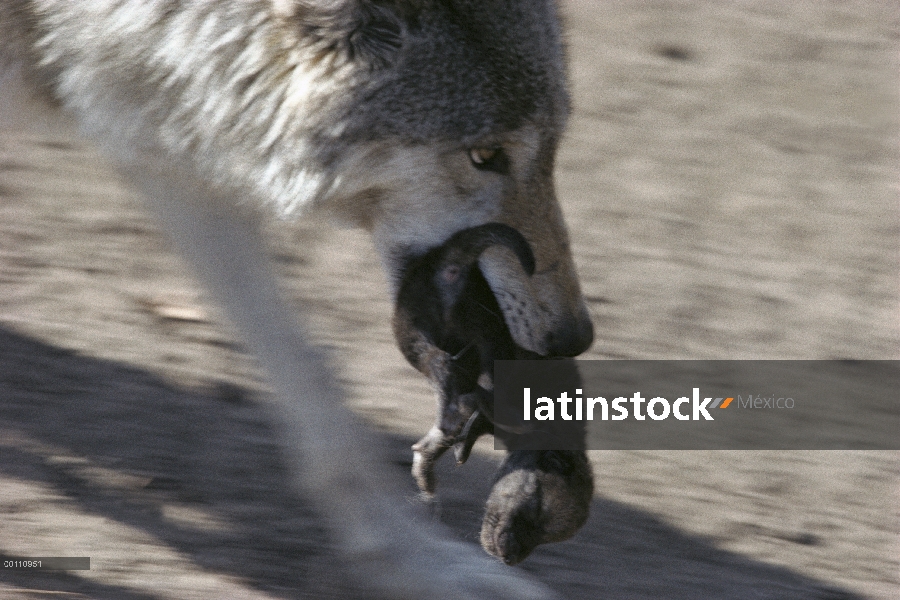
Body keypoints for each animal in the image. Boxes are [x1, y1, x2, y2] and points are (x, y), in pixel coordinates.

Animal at [1, 2, 596, 596]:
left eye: (554, 144)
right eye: (485, 154)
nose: (575, 336)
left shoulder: (172, 143)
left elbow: (312, 385)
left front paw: (414, 560)